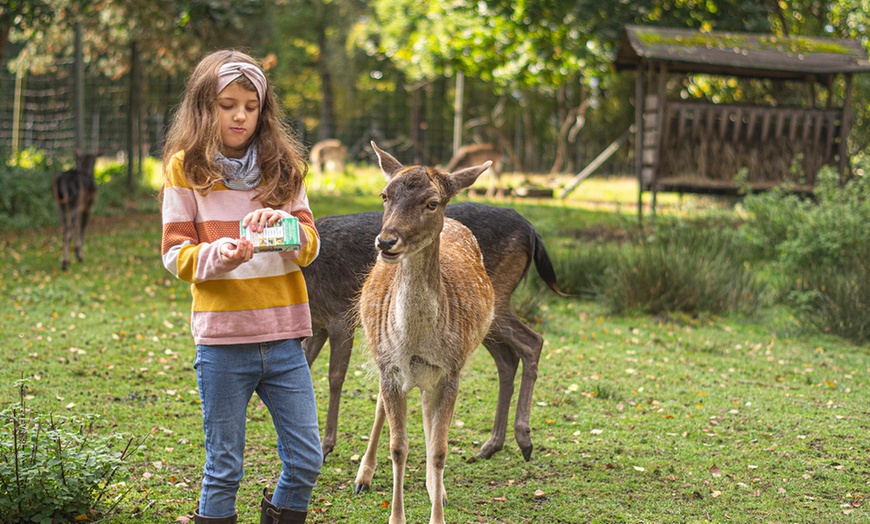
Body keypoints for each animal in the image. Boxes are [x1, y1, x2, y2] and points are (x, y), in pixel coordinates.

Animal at [304, 201, 568, 462]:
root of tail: (532, 232)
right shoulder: (316, 325)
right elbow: (307, 368)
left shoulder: (339, 317)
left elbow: (335, 377)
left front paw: (326, 445)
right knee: (508, 359)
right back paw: (491, 445)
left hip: (496, 298)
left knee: (533, 341)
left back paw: (524, 439)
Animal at [350, 142, 498, 524]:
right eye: (384, 195)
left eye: (431, 202)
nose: (385, 241)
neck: (415, 343)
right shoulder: (389, 367)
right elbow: (398, 447)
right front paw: (396, 517)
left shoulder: (450, 371)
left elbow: (439, 450)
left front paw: (437, 513)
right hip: (381, 356)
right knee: (380, 407)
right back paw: (363, 477)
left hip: (435, 377)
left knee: (430, 421)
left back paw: (437, 489)